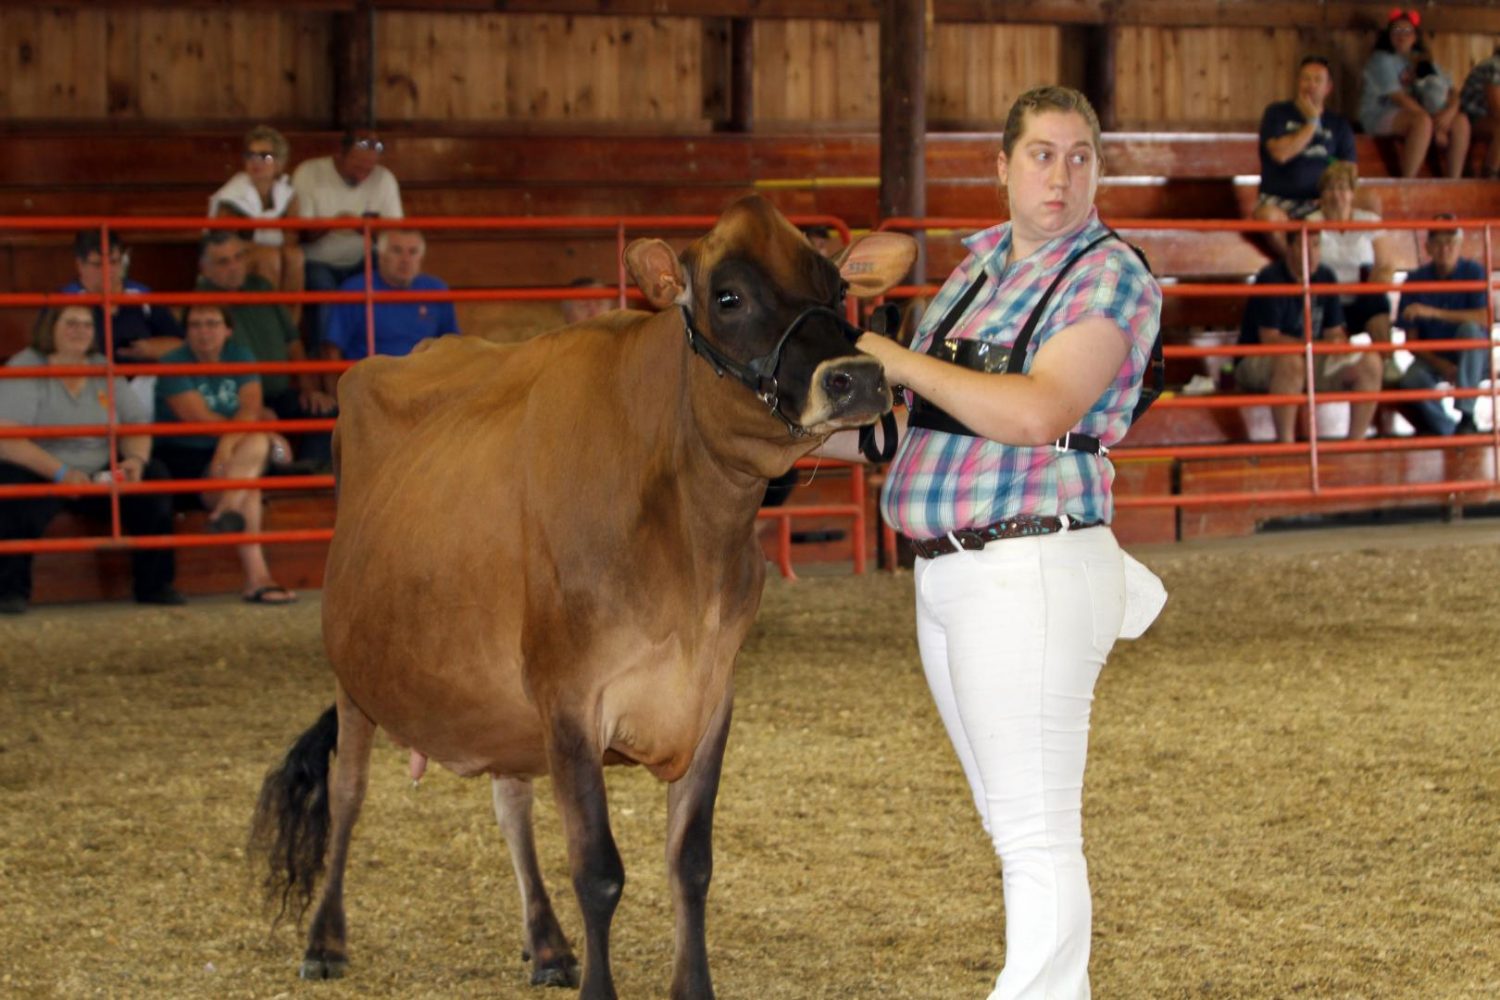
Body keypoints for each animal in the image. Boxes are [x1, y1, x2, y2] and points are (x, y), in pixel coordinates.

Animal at [249, 197, 912, 1000]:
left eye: (838, 289)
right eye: (728, 296)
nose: (859, 377)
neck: (687, 542)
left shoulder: (709, 695)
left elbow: (691, 863)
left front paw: (691, 986)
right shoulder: (569, 698)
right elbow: (598, 872)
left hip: (497, 698)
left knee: (509, 801)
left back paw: (547, 945)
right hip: (357, 674)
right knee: (348, 790)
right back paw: (325, 938)